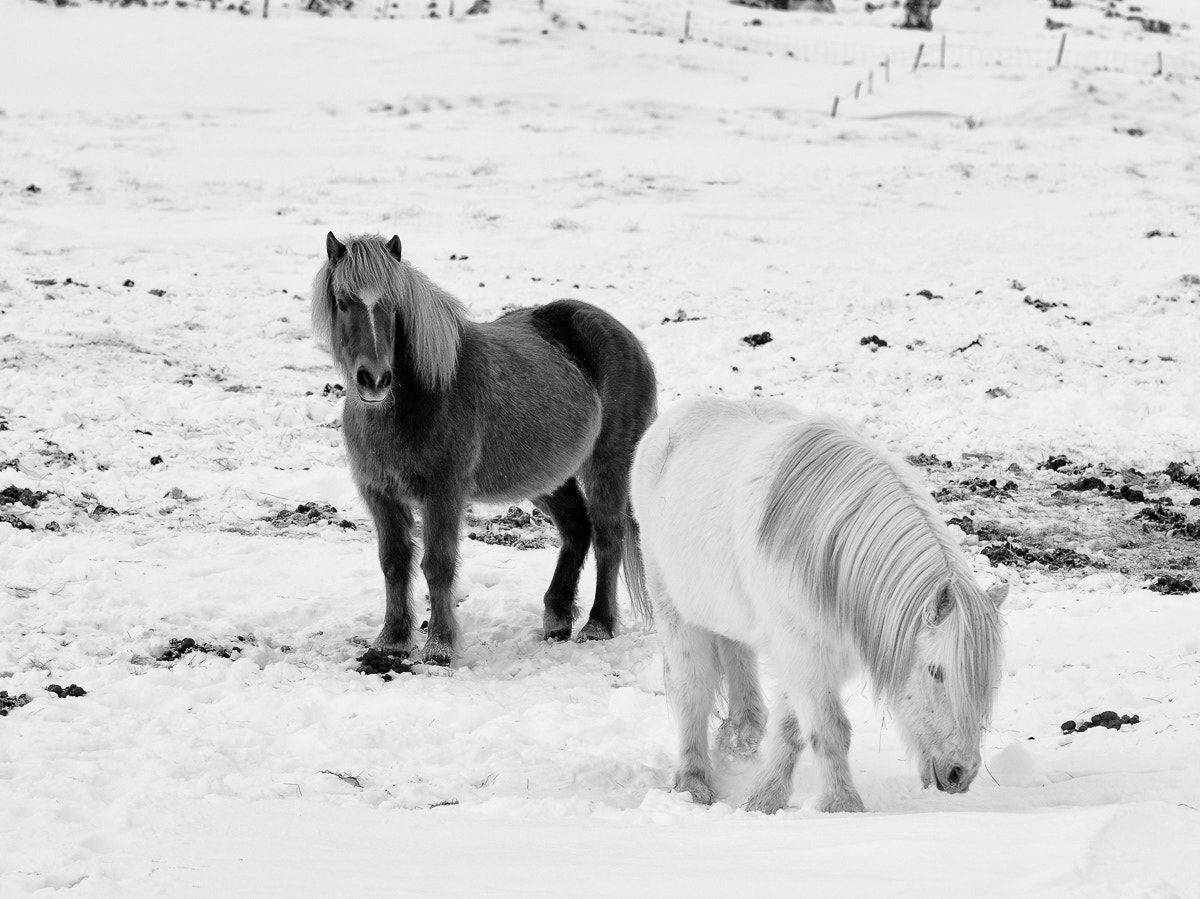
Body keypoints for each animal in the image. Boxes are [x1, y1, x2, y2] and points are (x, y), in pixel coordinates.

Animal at [314, 232, 657, 667]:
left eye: (392, 305)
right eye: (343, 302)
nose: (374, 379)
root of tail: (625, 336)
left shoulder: (444, 493)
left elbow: (438, 564)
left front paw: (439, 649)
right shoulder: (380, 494)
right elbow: (393, 563)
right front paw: (390, 642)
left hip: (609, 464)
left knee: (608, 535)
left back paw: (598, 625)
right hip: (547, 477)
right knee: (577, 528)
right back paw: (557, 617)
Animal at [633, 400, 1008, 811]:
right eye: (936, 671)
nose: (961, 773)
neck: (831, 556)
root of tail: (667, 423)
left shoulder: (815, 656)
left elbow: (793, 728)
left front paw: (766, 800)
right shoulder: (804, 651)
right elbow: (830, 729)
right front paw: (844, 806)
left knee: (736, 656)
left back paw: (740, 739)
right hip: (673, 609)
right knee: (692, 688)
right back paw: (694, 782)